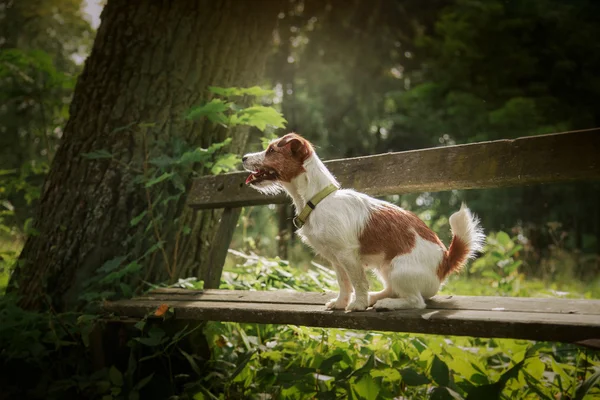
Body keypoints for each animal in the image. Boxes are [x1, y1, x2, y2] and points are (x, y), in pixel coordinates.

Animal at [241, 133, 486, 310]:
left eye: (271, 150)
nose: (243, 157)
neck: (319, 199)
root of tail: (445, 261)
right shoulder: (336, 259)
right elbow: (344, 283)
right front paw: (341, 303)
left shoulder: (348, 255)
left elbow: (358, 282)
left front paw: (357, 305)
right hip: (386, 269)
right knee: (393, 289)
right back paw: (375, 298)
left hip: (399, 268)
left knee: (416, 302)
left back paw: (386, 304)